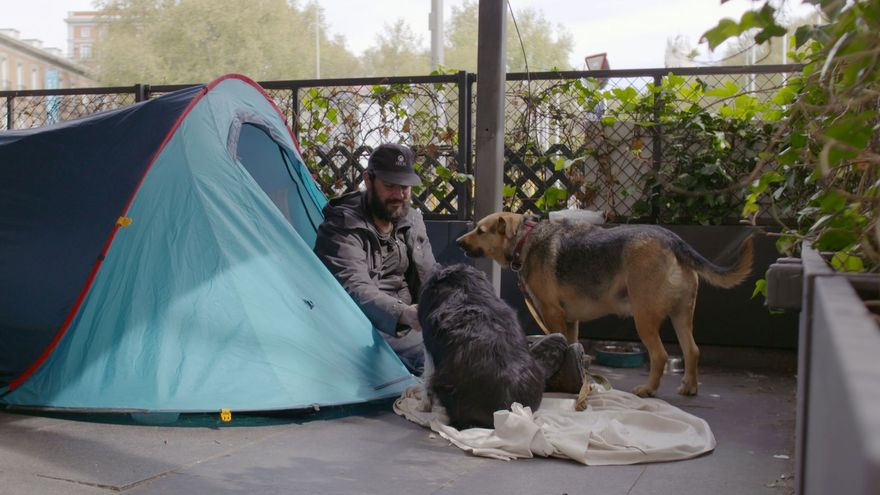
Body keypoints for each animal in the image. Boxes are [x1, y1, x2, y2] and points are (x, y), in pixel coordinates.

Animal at [458, 213, 752, 400]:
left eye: (480, 230)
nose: (459, 242)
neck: (524, 238)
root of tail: (672, 240)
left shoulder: (553, 314)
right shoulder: (571, 321)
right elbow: (572, 347)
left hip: (644, 319)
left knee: (660, 355)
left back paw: (648, 389)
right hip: (681, 315)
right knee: (692, 350)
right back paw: (689, 387)